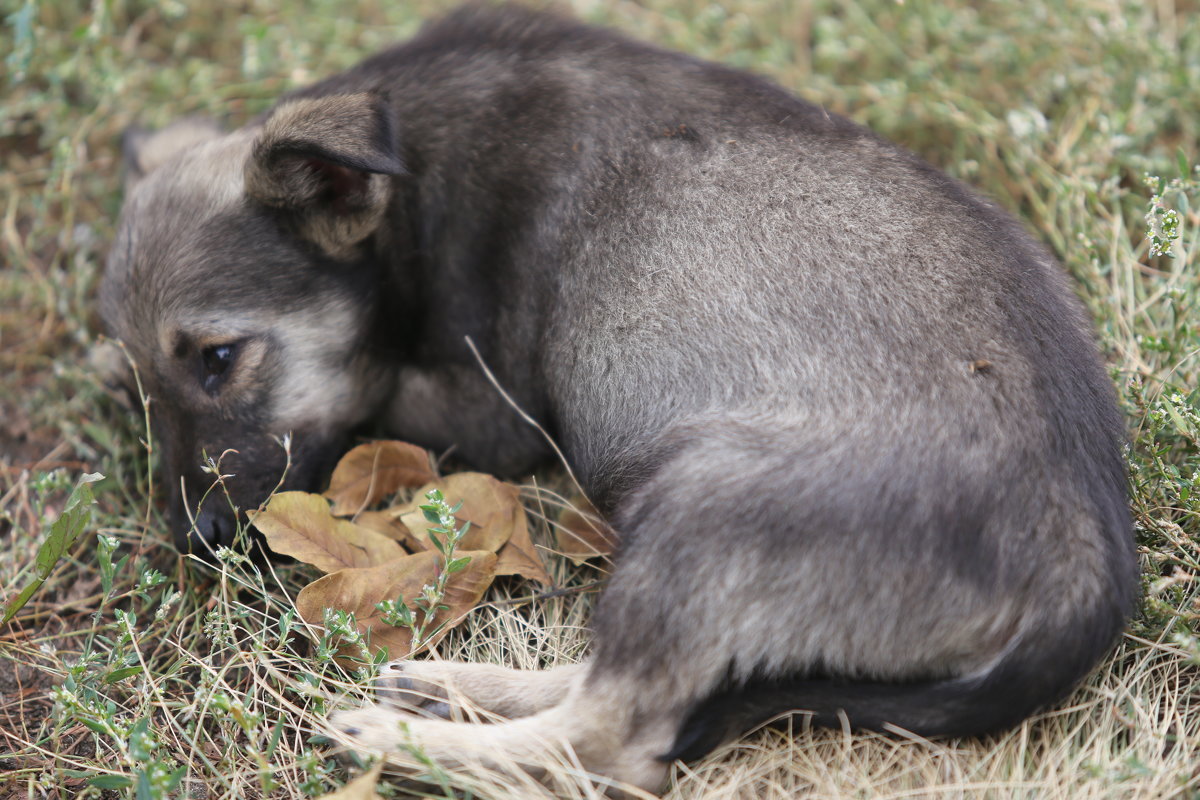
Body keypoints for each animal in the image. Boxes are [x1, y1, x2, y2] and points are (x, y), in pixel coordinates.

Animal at [100, 4, 1132, 796]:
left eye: (219, 358)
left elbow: (376, 389)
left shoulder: (488, 411)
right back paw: (451, 690)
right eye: (137, 383)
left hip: (704, 502)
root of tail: (1083, 573)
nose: (192, 541)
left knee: (611, 741)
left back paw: (407, 745)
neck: (411, 159)